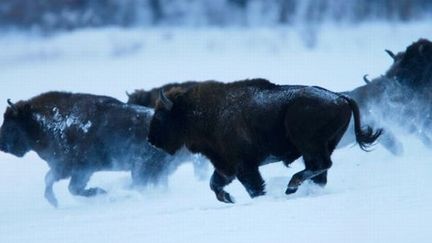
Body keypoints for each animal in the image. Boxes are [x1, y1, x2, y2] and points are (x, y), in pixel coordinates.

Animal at [0, 91, 184, 207]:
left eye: (11, 125)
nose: (2, 144)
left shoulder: (76, 169)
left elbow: (68, 187)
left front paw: (100, 192)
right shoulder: (69, 170)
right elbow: (53, 181)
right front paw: (55, 202)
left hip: (141, 168)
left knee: (141, 185)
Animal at [148, 78, 382, 203]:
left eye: (159, 116)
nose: (151, 141)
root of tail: (340, 97)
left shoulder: (244, 167)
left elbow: (253, 188)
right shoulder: (225, 166)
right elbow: (214, 185)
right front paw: (229, 199)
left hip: (310, 146)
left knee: (321, 166)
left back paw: (291, 186)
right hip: (321, 147)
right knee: (320, 172)